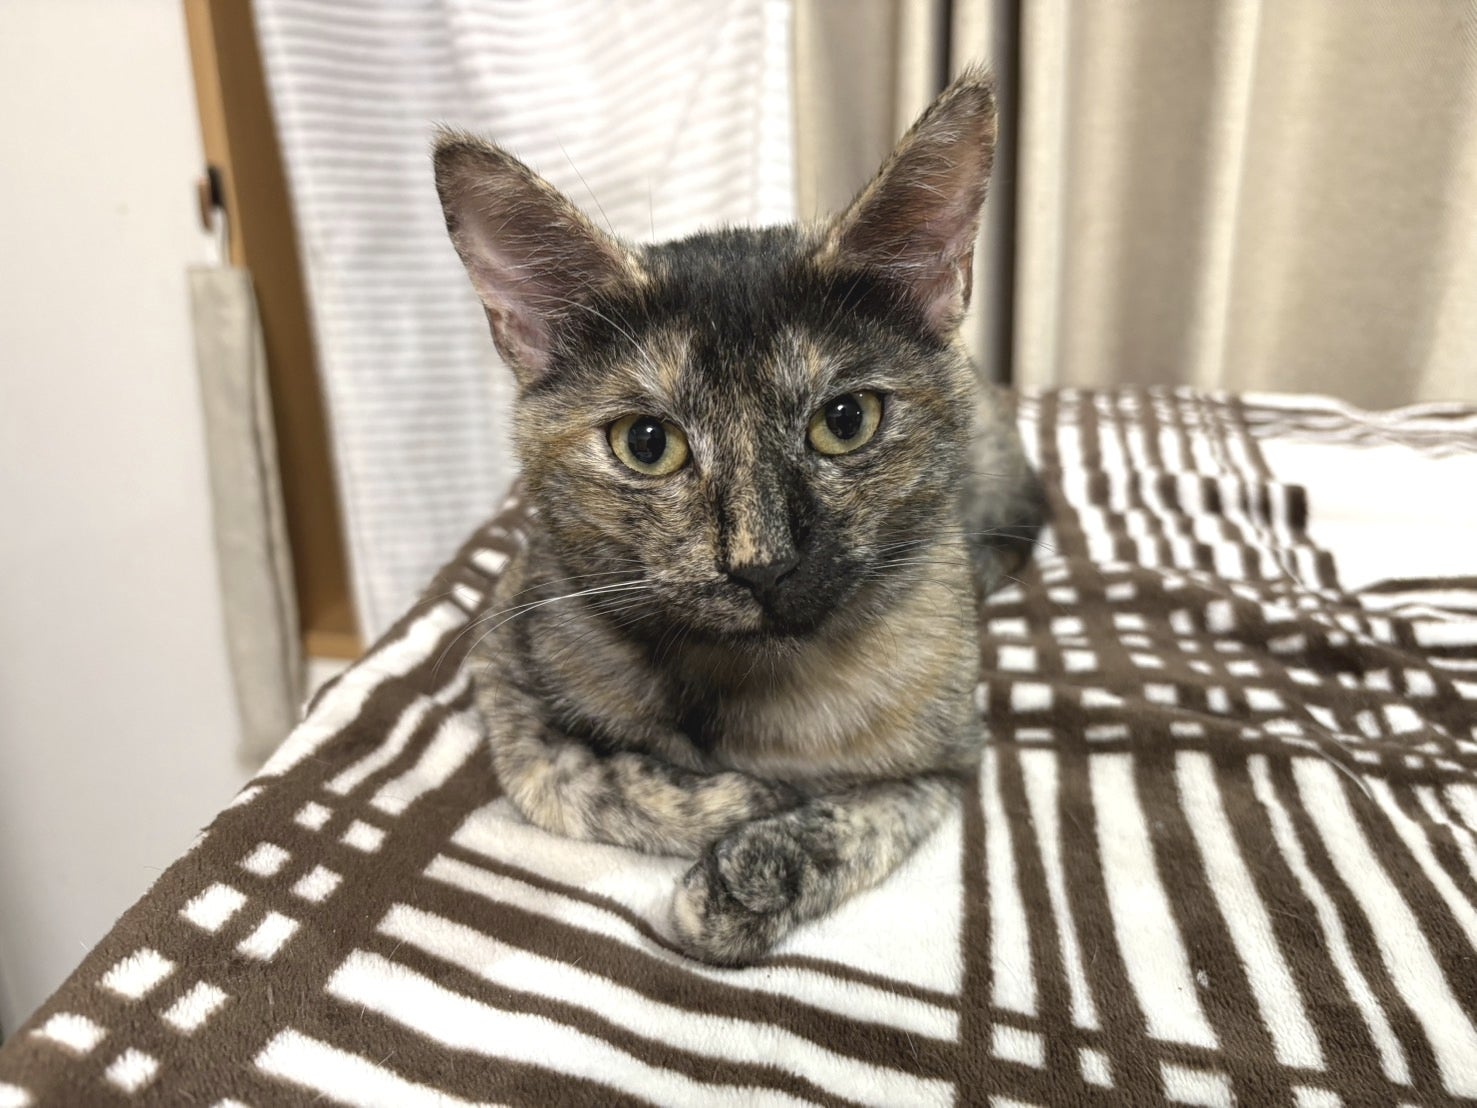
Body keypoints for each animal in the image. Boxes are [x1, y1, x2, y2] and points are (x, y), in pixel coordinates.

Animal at [434, 67, 1043, 966]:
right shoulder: (505, 645)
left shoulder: (948, 754)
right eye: (646, 443)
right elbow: (562, 778)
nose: (762, 563)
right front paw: (734, 798)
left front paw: (746, 877)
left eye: (845, 421)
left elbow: (870, 812)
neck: (737, 678)